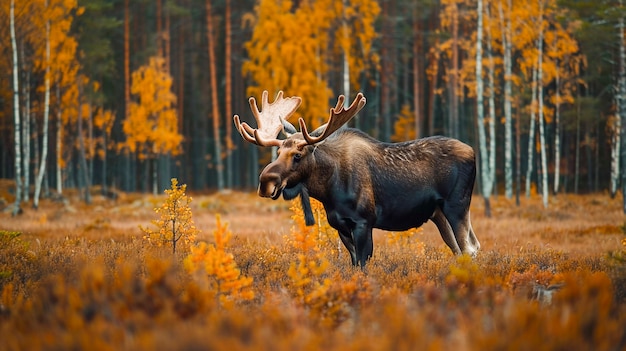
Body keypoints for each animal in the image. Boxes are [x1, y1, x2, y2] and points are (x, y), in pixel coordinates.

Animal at [232, 91, 480, 266]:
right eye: (278, 151)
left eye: (298, 155)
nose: (265, 182)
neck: (328, 191)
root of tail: (473, 151)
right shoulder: (340, 226)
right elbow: (353, 264)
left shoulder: (363, 221)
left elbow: (363, 264)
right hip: (438, 213)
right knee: (461, 249)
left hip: (457, 206)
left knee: (470, 248)